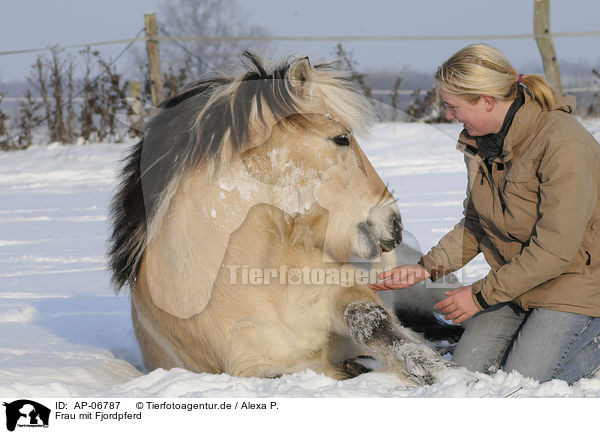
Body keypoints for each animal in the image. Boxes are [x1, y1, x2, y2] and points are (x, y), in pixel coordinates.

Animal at [109, 51, 450, 386]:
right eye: (341, 138)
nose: (394, 224)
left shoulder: (347, 293)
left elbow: (371, 321)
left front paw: (440, 371)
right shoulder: (252, 365)